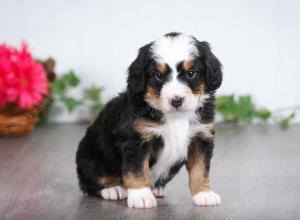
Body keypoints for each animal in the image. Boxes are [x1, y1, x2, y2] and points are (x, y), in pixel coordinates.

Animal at [77, 32, 223, 208]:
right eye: (158, 76)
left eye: (191, 73)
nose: (176, 101)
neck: (175, 117)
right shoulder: (136, 141)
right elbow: (138, 170)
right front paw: (141, 196)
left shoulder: (200, 138)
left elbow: (200, 170)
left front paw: (204, 194)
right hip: (90, 159)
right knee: (90, 183)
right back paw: (113, 189)